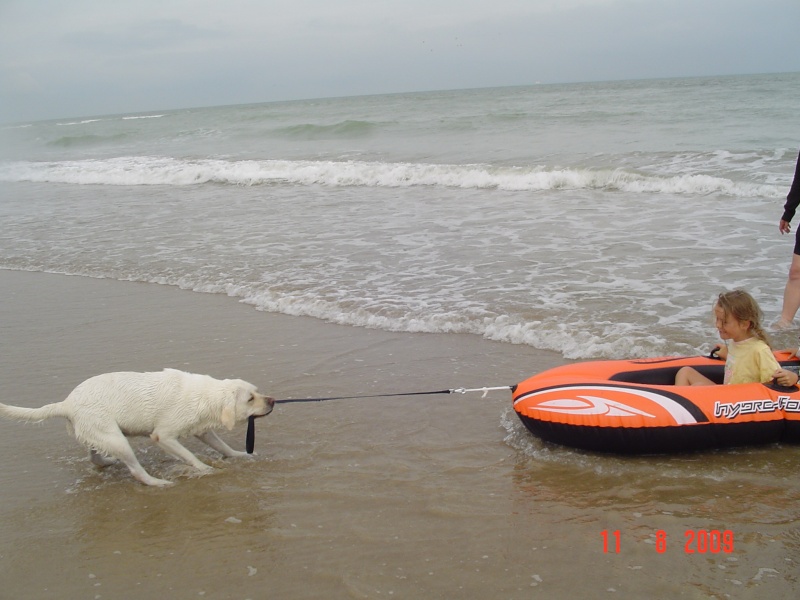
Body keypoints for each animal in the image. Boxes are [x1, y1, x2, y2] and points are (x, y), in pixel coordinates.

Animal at [0, 366, 276, 488]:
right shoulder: (164, 436)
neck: (208, 397)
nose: (272, 401)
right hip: (116, 438)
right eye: (250, 399)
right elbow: (189, 456)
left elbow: (223, 447)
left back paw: (108, 462)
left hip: (102, 434)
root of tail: (66, 403)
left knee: (94, 456)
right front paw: (205, 470)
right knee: (136, 471)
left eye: (257, 391)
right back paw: (158, 483)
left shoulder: (202, 429)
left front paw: (241, 455)